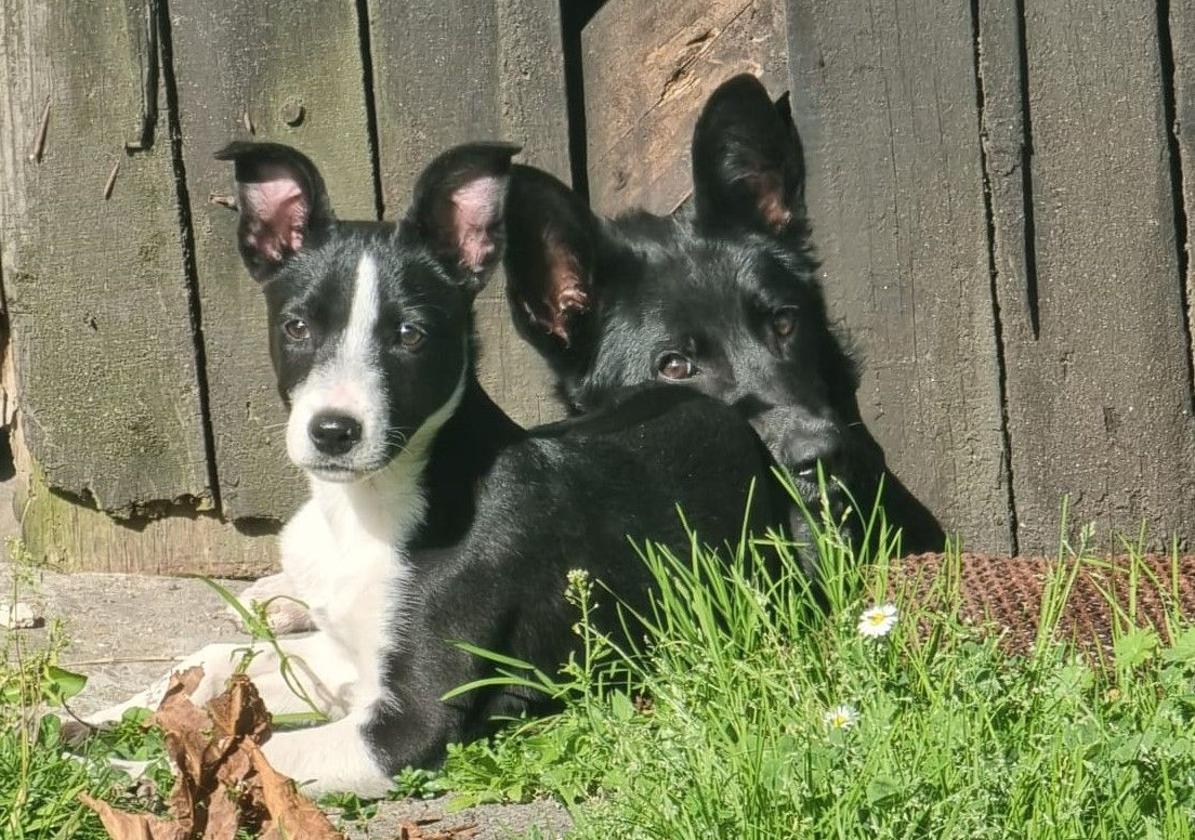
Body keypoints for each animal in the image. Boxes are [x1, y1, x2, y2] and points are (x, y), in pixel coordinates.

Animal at [79, 140, 798, 798]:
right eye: (296, 326)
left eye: (411, 336)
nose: (333, 432)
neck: (366, 510)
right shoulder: (343, 657)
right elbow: (211, 664)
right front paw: (93, 719)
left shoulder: (406, 728)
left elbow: (255, 753)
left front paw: (125, 772)